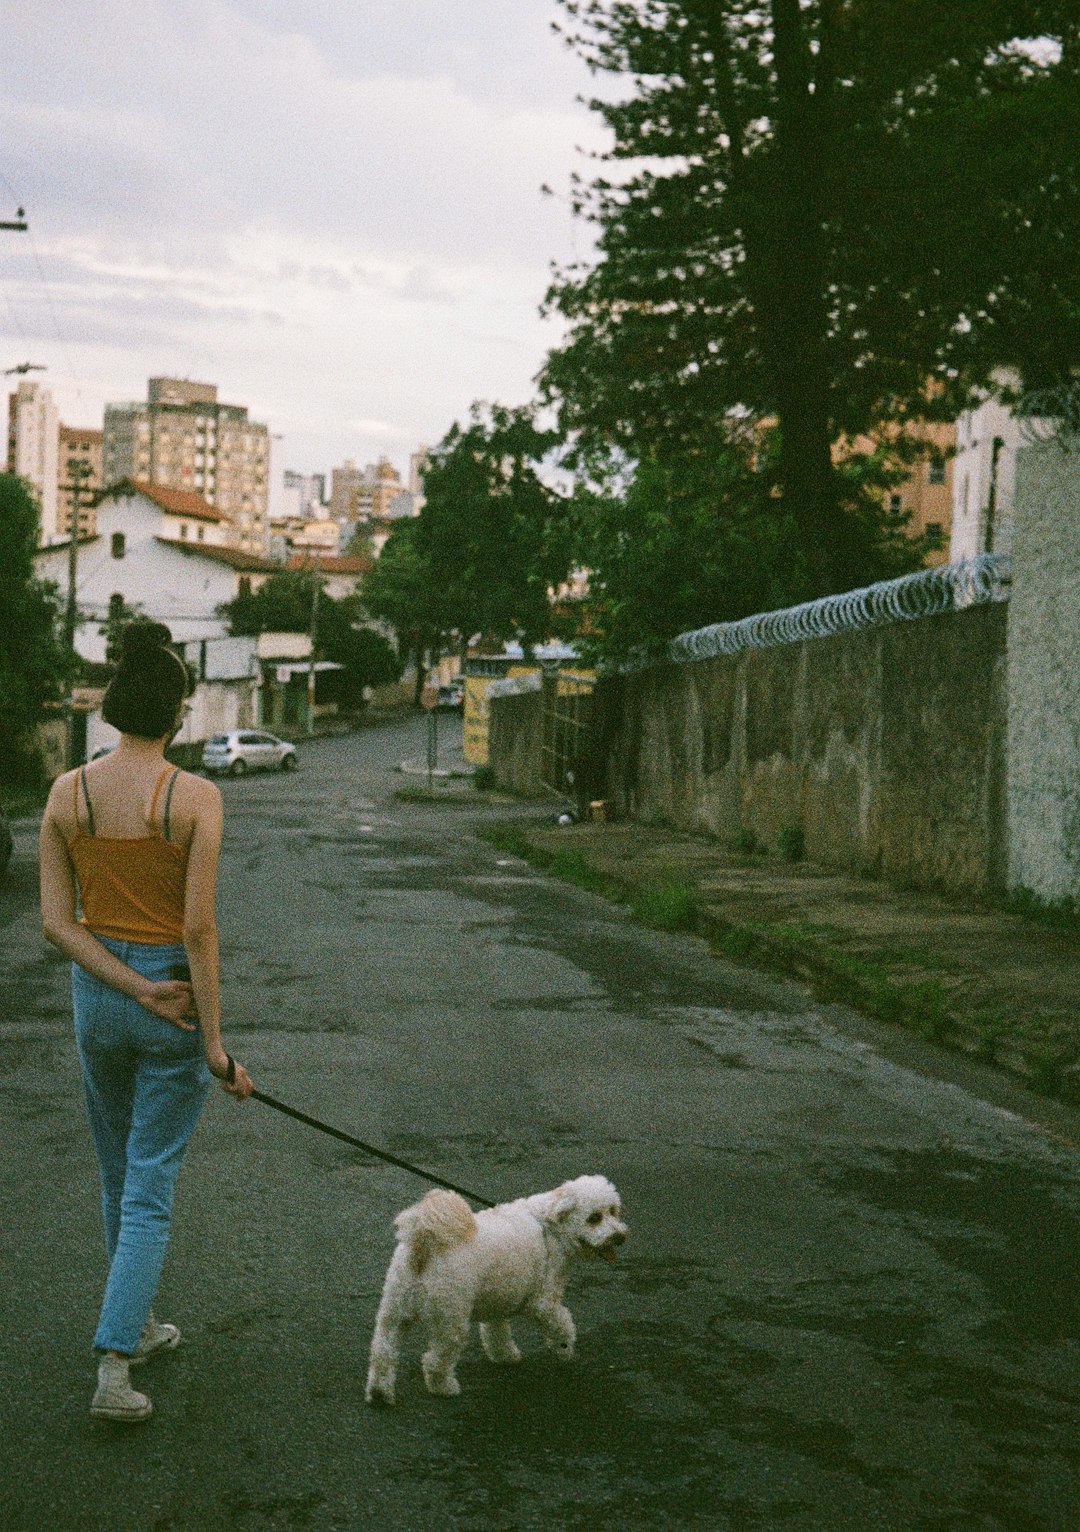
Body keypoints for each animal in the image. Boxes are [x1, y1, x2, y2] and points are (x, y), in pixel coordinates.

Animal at [366, 1176, 628, 1403]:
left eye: (613, 1211)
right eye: (594, 1218)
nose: (619, 1237)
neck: (550, 1226)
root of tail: (423, 1244)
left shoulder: (500, 1299)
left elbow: (496, 1333)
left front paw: (505, 1356)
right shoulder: (542, 1302)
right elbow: (561, 1322)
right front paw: (564, 1348)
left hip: (394, 1312)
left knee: (383, 1353)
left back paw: (379, 1393)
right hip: (450, 1319)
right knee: (435, 1360)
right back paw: (444, 1388)